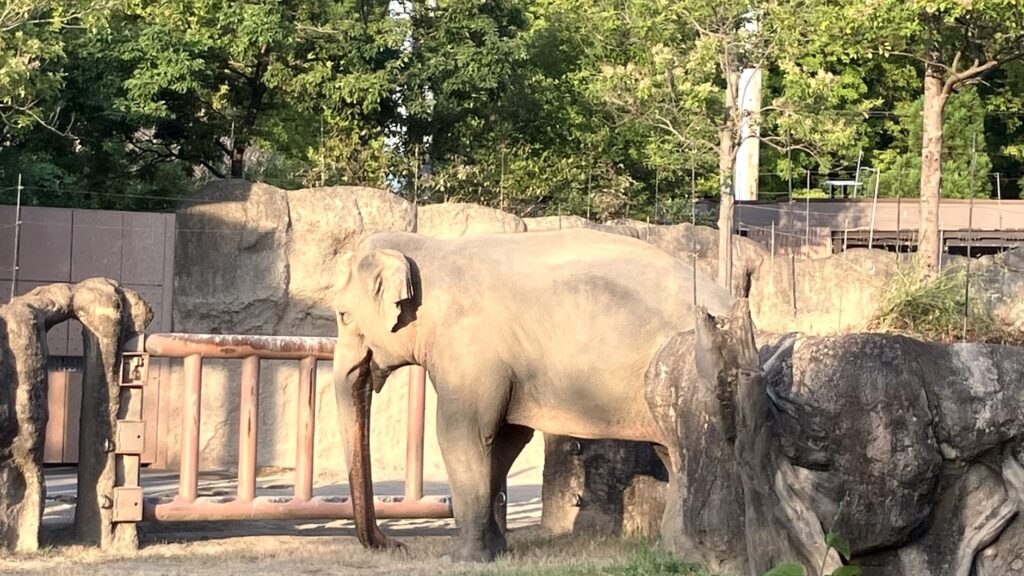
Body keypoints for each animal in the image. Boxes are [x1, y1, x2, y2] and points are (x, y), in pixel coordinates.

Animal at [331, 226, 733, 557]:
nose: (395, 545)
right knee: (673, 455)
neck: (430, 249)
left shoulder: (468, 348)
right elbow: (504, 441)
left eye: (343, 315)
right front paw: (495, 551)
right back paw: (677, 551)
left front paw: (460, 557)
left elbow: (462, 434)